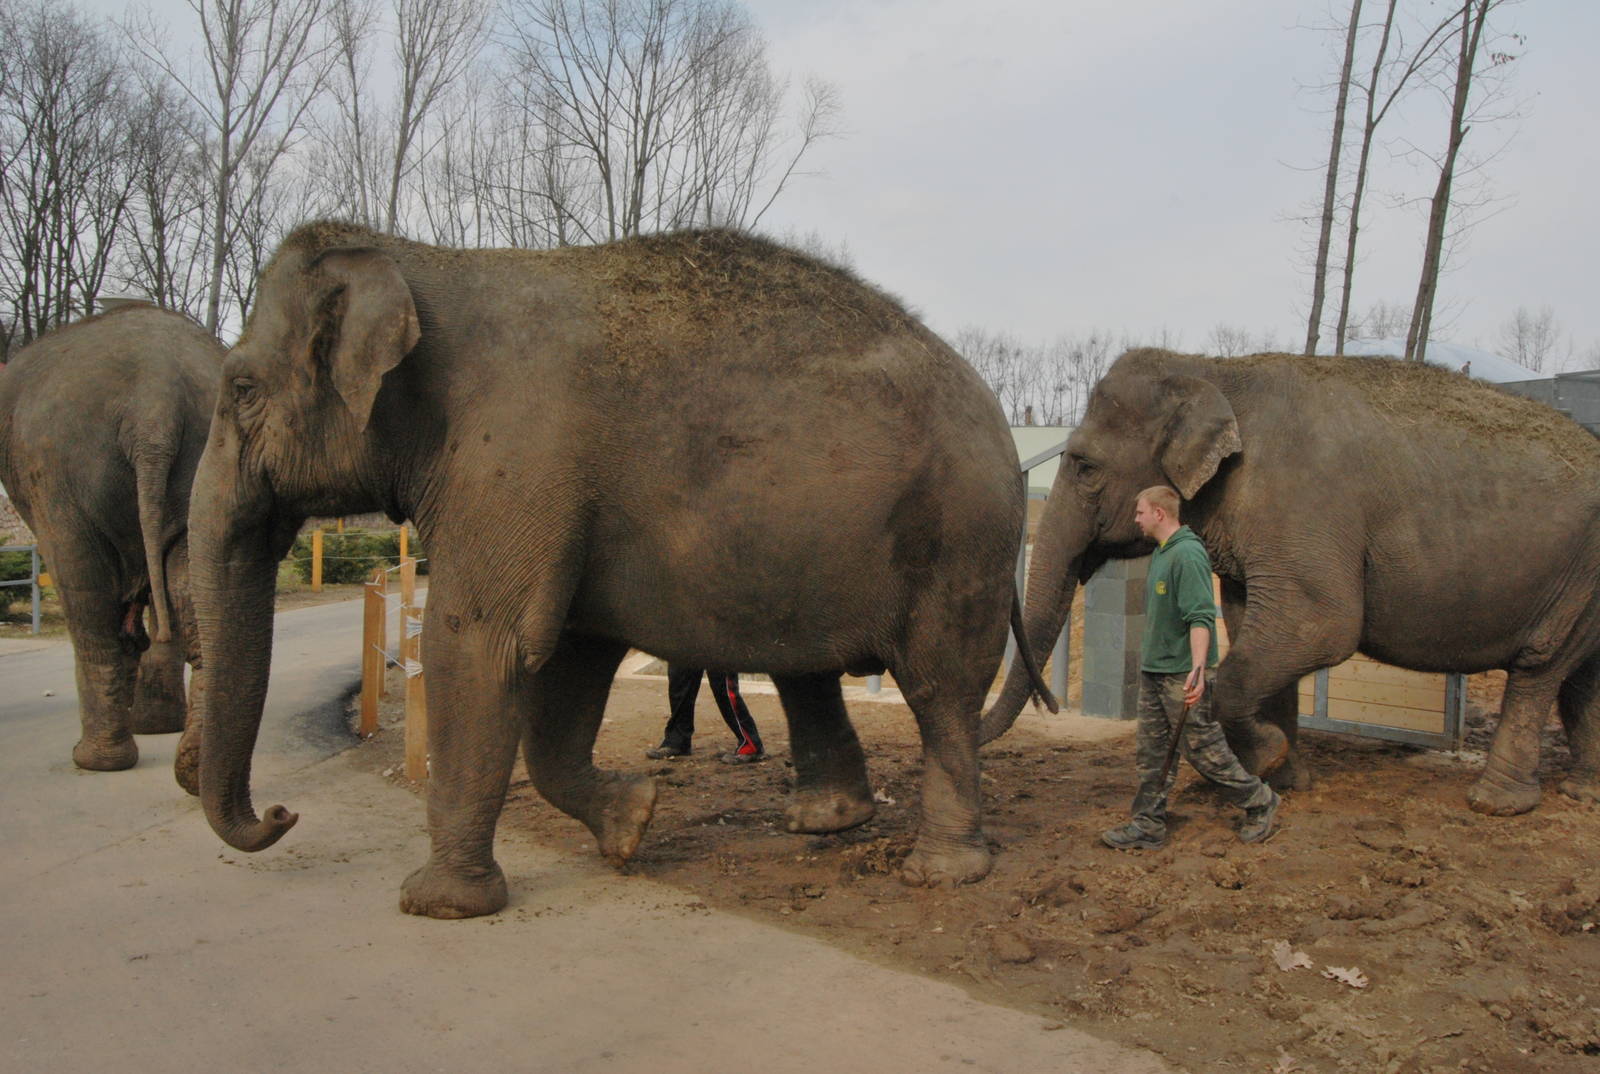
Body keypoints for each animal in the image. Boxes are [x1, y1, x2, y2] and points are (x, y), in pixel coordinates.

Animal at [0, 303, 220, 793]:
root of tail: (154, 404)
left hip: (62, 475)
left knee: (86, 597)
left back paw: (96, 759)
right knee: (192, 588)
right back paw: (193, 768)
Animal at [189, 222, 1055, 919]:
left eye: (241, 388)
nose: (280, 814)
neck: (419, 255)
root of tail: (1000, 420)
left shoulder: (513, 461)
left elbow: (477, 645)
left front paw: (436, 905)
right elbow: (563, 665)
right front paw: (634, 822)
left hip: (959, 538)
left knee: (942, 688)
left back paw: (940, 873)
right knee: (808, 671)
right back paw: (826, 823)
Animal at [983, 347, 1600, 817]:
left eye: (1085, 466)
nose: (1051, 705)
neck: (1214, 368)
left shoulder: (1302, 511)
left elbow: (1318, 626)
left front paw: (1266, 759)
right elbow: (1247, 620)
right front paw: (1285, 779)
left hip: (1579, 573)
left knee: (1541, 667)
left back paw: (1496, 802)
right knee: (1582, 679)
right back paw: (1581, 791)